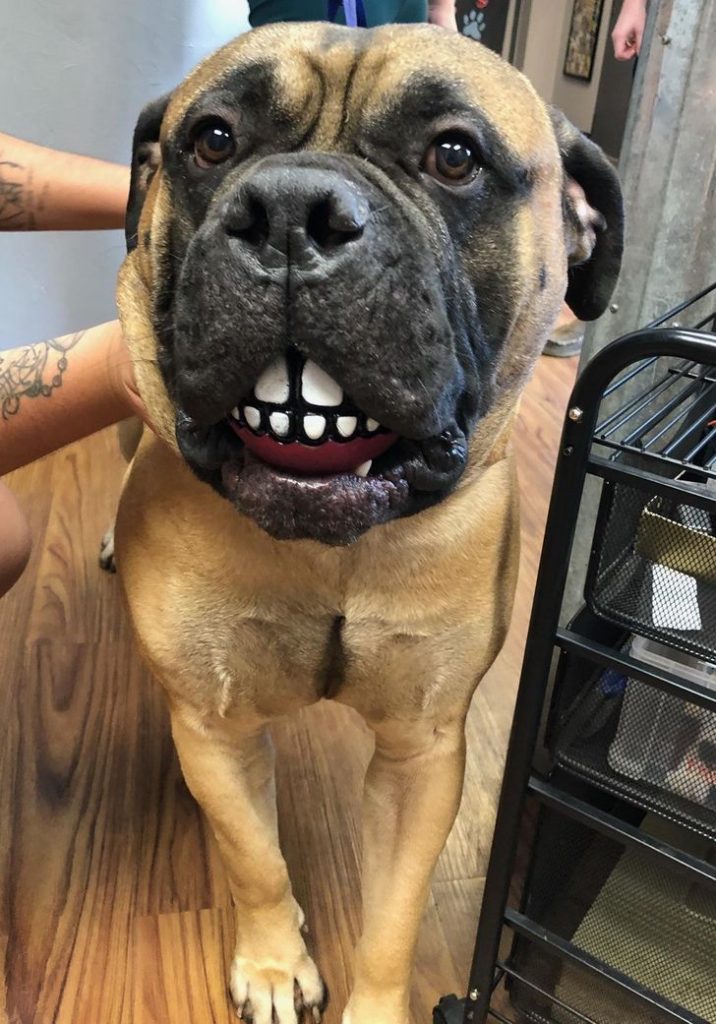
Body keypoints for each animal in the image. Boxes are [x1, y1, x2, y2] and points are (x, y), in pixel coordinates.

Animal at [114, 22, 622, 1024]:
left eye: (454, 156)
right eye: (214, 140)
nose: (288, 213)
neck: (334, 553)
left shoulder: (423, 756)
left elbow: (394, 912)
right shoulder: (213, 726)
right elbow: (255, 858)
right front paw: (275, 964)